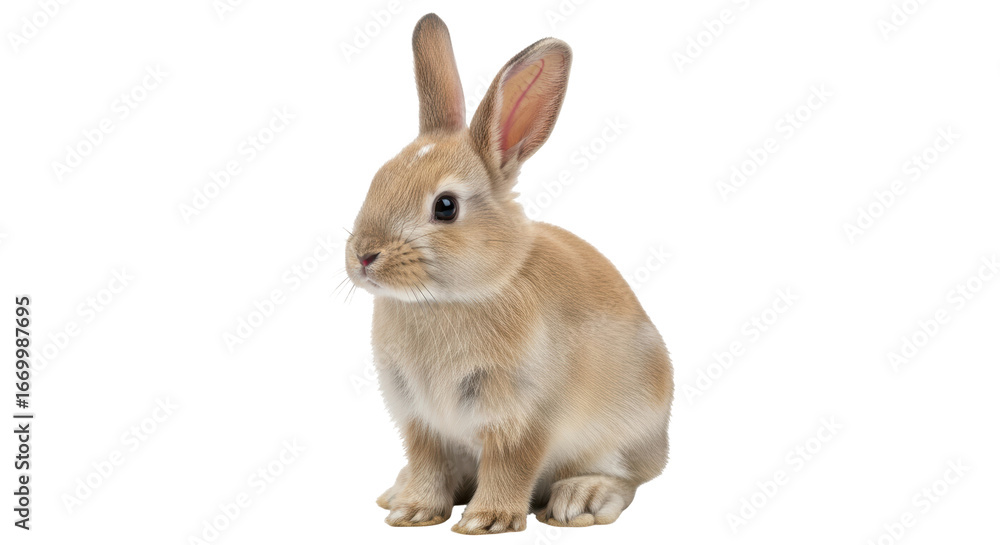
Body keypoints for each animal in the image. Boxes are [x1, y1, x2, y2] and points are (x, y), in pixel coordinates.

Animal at [345, 13, 673, 534]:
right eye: (378, 179)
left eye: (445, 206)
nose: (363, 255)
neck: (451, 298)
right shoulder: (420, 421)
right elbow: (427, 462)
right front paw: (412, 511)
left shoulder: (523, 417)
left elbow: (510, 465)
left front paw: (486, 520)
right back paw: (396, 490)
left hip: (627, 434)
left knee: (628, 478)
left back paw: (580, 500)